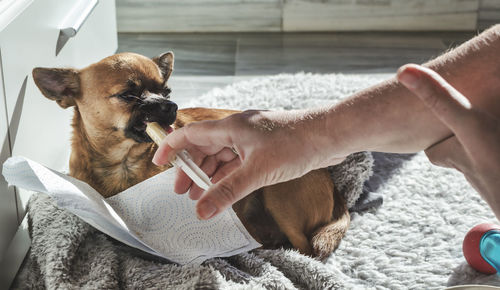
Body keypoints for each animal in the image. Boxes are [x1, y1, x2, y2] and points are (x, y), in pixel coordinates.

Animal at [33, 51, 350, 258]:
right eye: (127, 95)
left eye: (166, 90)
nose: (170, 105)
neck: (124, 164)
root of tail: (334, 186)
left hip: (278, 193)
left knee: (304, 249)